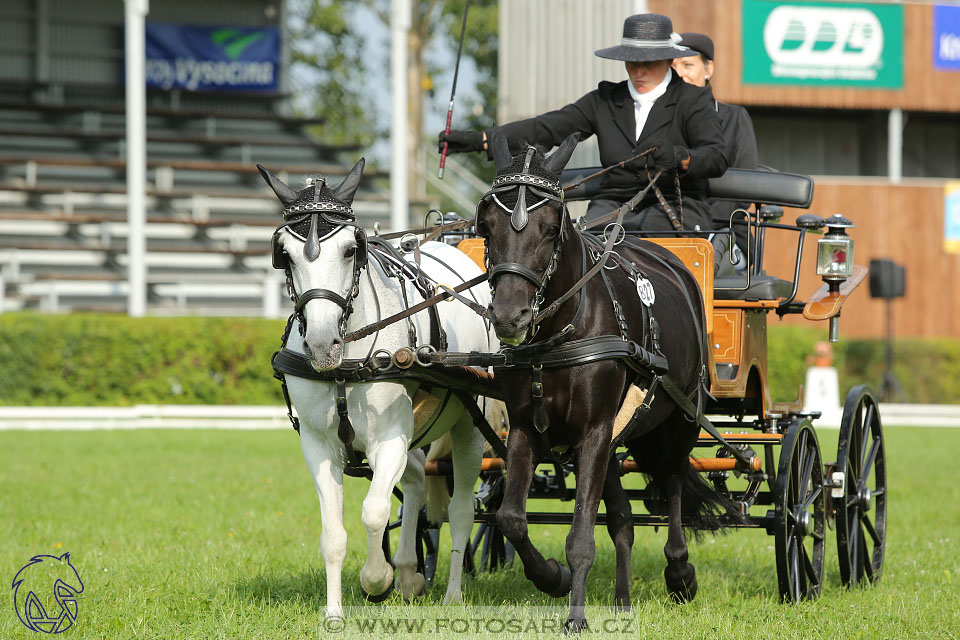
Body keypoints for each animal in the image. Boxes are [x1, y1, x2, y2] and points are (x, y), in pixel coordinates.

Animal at [480, 127, 736, 628]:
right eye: (487, 225)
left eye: (550, 226)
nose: (509, 316)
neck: (558, 334)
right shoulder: (526, 429)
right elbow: (511, 518)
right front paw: (551, 577)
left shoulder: (595, 431)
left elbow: (581, 535)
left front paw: (576, 617)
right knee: (623, 518)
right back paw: (621, 600)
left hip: (680, 417)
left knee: (672, 481)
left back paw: (680, 572)